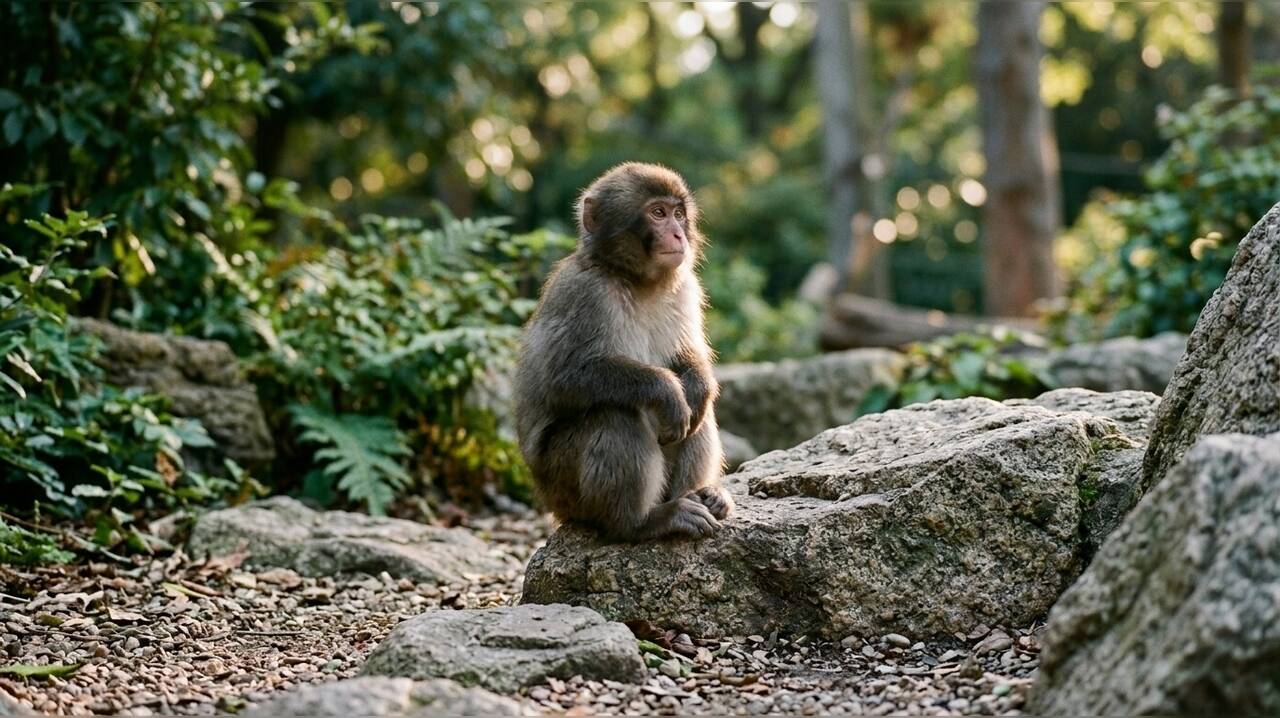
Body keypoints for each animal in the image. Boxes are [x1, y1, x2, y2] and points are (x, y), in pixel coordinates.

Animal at [514, 162, 733, 542]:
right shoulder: (585, 294)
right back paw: (641, 522)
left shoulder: (686, 287)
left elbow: (687, 358)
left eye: (678, 214)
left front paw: (699, 386)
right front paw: (665, 390)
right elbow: (563, 378)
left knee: (697, 414)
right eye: (658, 213)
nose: (678, 234)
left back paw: (700, 496)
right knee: (616, 414)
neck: (637, 281)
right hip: (563, 487)